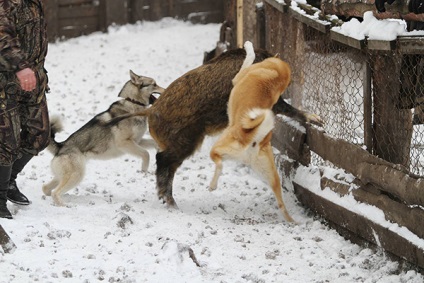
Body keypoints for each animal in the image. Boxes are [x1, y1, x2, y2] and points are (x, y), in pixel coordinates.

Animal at [41, 70, 164, 205]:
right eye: (154, 84)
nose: (165, 89)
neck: (132, 103)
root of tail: (60, 147)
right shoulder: (124, 143)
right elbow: (146, 154)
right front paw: (144, 170)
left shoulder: (138, 141)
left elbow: (153, 144)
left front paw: (160, 150)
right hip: (76, 175)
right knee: (55, 192)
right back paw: (65, 205)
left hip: (64, 176)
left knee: (46, 188)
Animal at [209, 52, 294, 222]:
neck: (276, 75)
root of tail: (254, 142)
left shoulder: (238, 77)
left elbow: (249, 57)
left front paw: (248, 48)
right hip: (272, 176)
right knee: (281, 204)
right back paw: (293, 222)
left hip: (219, 147)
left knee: (219, 164)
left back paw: (213, 185)